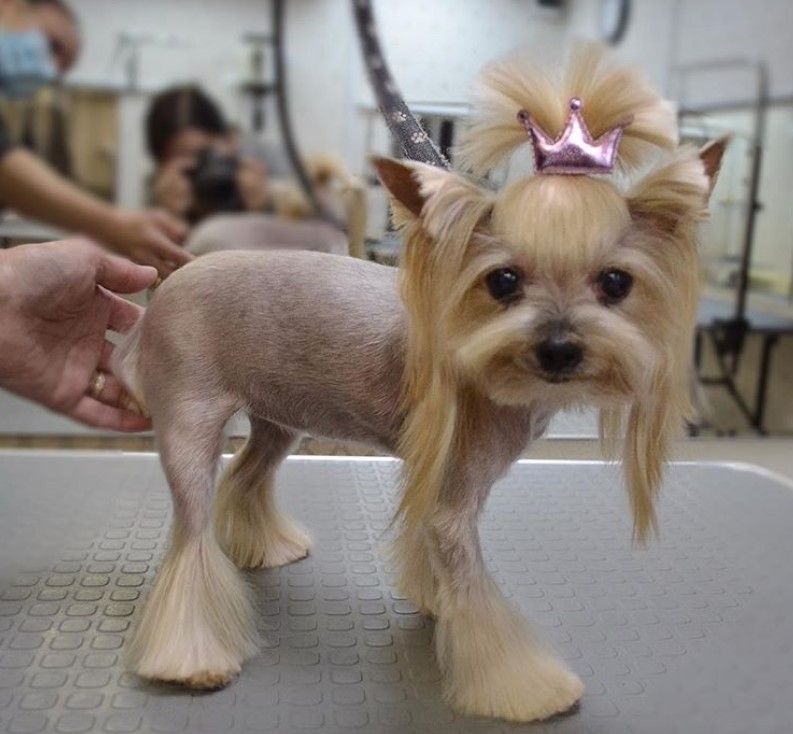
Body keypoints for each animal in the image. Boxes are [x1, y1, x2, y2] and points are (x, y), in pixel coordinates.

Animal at [111, 44, 724, 724]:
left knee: (245, 476)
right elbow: (478, 592)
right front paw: (524, 687)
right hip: (189, 418)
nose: (561, 348)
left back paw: (263, 546)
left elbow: (446, 567)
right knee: (191, 531)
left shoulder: (452, 487)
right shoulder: (455, 502)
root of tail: (177, 274)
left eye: (616, 282)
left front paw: (436, 600)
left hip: (278, 414)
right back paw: (191, 656)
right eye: (503, 281)